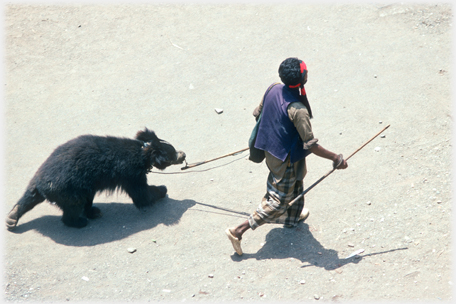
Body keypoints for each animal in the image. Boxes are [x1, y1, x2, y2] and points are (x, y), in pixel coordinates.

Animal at [3, 127, 185, 229]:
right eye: (173, 153)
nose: (183, 154)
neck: (143, 150)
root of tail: (42, 186)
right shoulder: (130, 172)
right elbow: (141, 194)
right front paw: (162, 190)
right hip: (69, 191)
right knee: (73, 208)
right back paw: (79, 222)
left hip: (53, 184)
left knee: (28, 198)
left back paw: (12, 217)